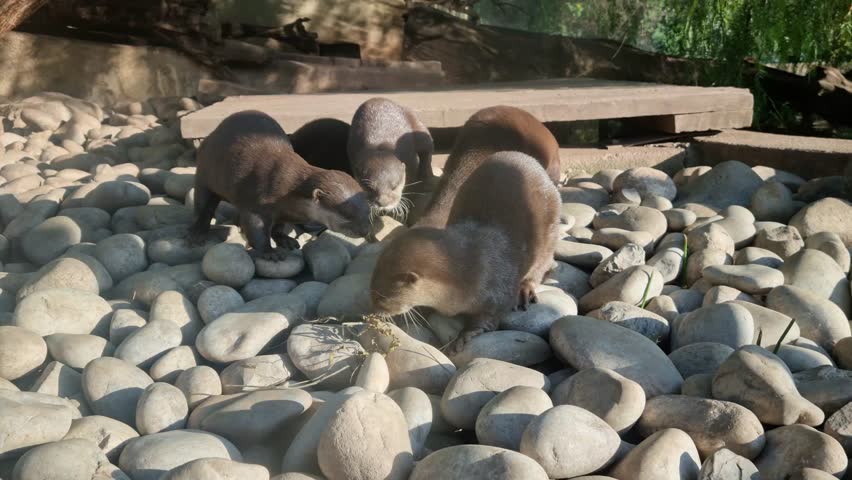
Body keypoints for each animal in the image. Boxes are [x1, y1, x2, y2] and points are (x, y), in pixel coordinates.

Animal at [189, 110, 372, 259]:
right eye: (346, 214)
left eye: (367, 211)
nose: (365, 230)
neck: (286, 190)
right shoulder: (257, 202)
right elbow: (255, 229)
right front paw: (269, 252)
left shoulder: (285, 212)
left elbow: (278, 227)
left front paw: (285, 240)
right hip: (205, 173)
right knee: (203, 206)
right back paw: (197, 234)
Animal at [370, 151, 561, 352]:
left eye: (380, 297)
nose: (374, 310)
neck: (470, 272)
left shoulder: (499, 290)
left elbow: (489, 317)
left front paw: (465, 335)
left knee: (540, 266)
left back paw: (525, 291)